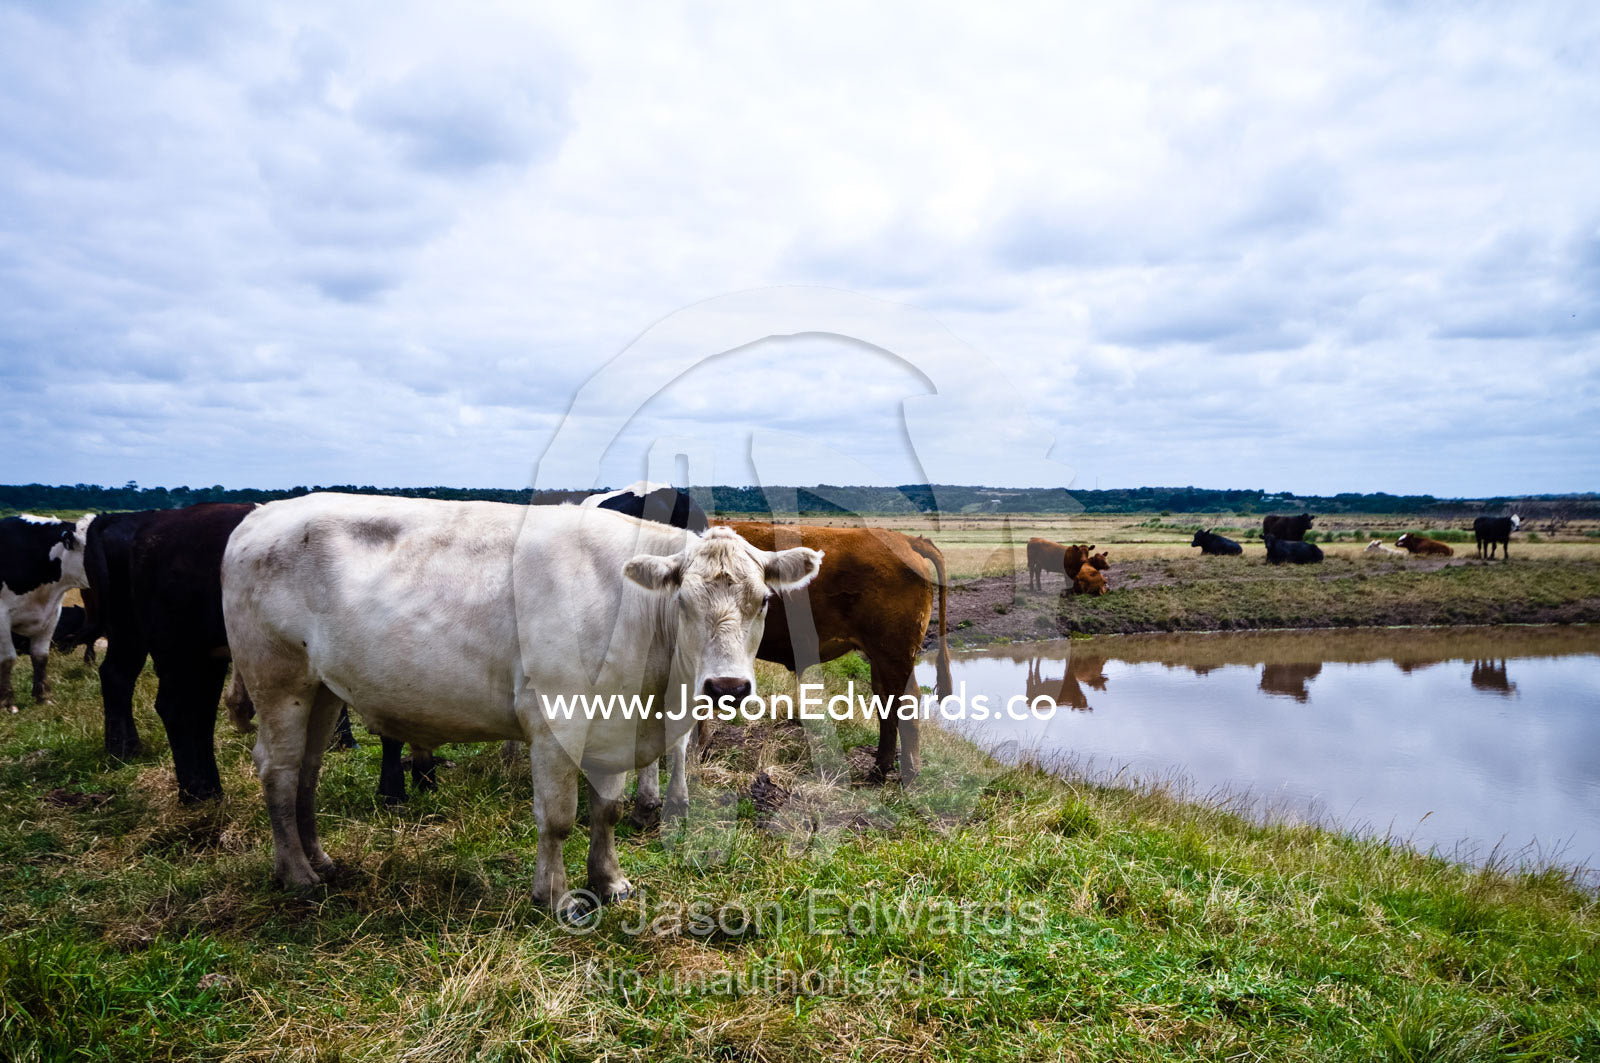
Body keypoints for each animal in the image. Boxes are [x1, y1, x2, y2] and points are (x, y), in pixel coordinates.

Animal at [1, 514, 94, 710]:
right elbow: (8, 658)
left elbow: (41, 656)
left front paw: (43, 697)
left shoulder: (52, 614)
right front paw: (7, 703)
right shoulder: (1, 617)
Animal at [83, 503, 258, 800]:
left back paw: (125, 749)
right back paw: (197, 791)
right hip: (177, 646)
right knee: (177, 707)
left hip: (143, 635)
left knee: (120, 677)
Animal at [221, 493, 821, 910]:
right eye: (683, 602)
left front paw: (610, 881)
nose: (727, 688)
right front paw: (555, 896)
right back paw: (297, 874)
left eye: (764, 600)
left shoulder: (612, 726)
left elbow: (606, 810)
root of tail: (260, 514)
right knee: (278, 771)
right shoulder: (555, 722)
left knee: (307, 771)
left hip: (321, 690)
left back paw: (320, 860)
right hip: (278, 680)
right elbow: (558, 818)